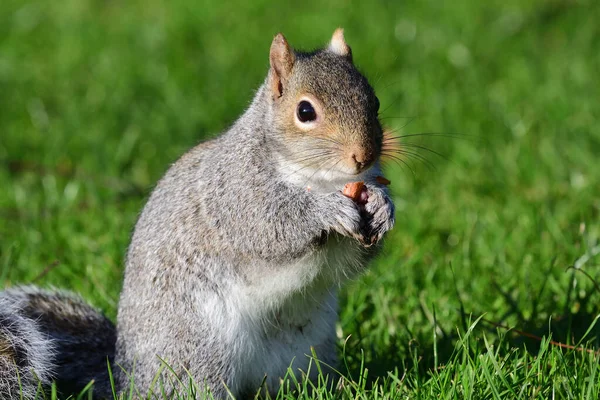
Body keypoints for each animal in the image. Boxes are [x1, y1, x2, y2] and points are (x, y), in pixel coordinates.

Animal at [0, 29, 396, 398]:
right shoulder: (237, 194)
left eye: (375, 101)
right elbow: (272, 227)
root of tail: (128, 380)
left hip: (303, 352)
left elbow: (352, 258)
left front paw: (383, 205)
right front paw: (328, 210)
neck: (320, 178)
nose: (363, 155)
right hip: (198, 353)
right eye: (305, 112)